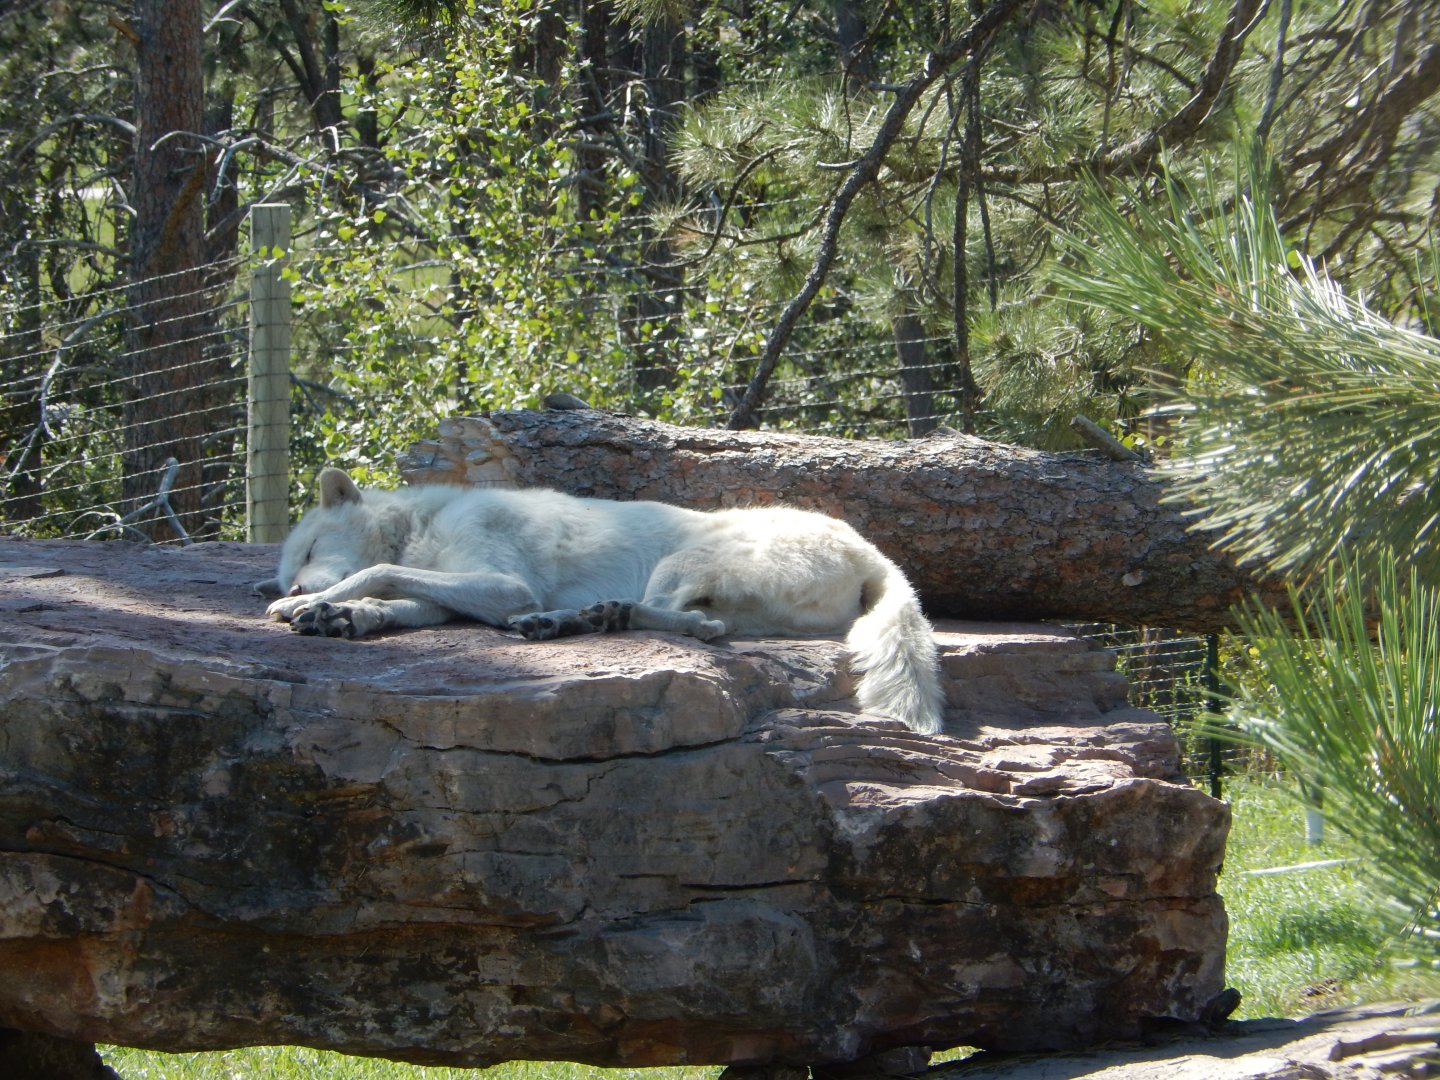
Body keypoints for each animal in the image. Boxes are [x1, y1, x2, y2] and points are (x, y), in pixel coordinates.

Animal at [263, 468, 945, 734]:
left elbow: (379, 568)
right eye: (288, 566)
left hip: (681, 562)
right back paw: (571, 620)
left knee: (694, 624)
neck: (423, 524)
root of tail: (873, 552)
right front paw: (338, 616)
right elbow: (398, 599)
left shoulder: (503, 583)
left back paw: (582, 616)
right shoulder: (456, 596)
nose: (292, 587)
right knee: (707, 624)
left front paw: (309, 604)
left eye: (309, 549)